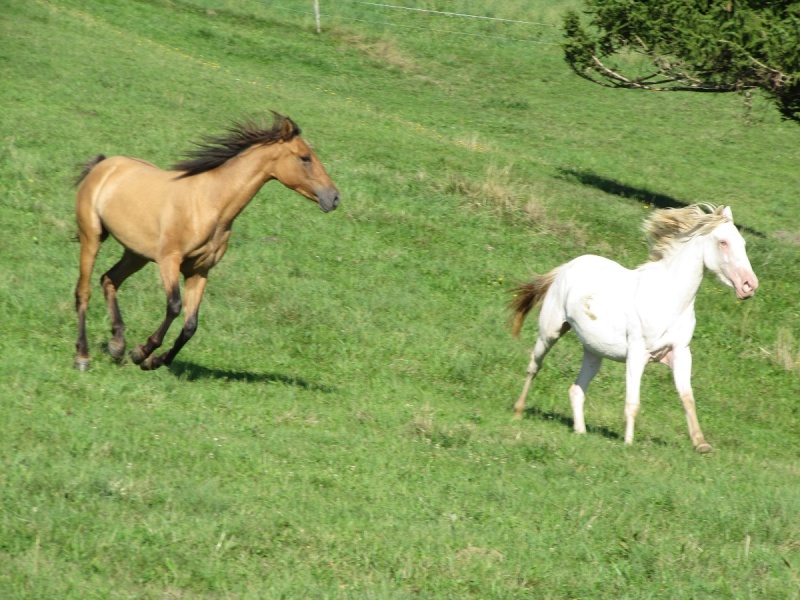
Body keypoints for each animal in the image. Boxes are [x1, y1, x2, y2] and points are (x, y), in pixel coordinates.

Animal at [73, 112, 340, 370]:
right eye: (305, 158)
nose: (334, 197)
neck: (208, 204)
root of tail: (104, 165)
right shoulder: (169, 260)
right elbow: (174, 305)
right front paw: (142, 352)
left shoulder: (200, 270)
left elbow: (191, 325)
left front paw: (153, 361)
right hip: (92, 237)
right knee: (84, 292)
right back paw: (83, 357)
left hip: (135, 254)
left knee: (109, 279)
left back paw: (117, 345)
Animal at [510, 204, 760, 452]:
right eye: (723, 242)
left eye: (742, 243)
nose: (749, 285)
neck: (669, 301)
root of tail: (567, 266)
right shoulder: (637, 354)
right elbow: (633, 402)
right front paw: (629, 443)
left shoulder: (681, 352)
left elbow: (687, 398)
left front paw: (701, 444)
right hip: (550, 332)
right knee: (534, 366)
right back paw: (518, 411)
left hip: (593, 352)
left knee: (576, 389)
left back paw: (580, 431)